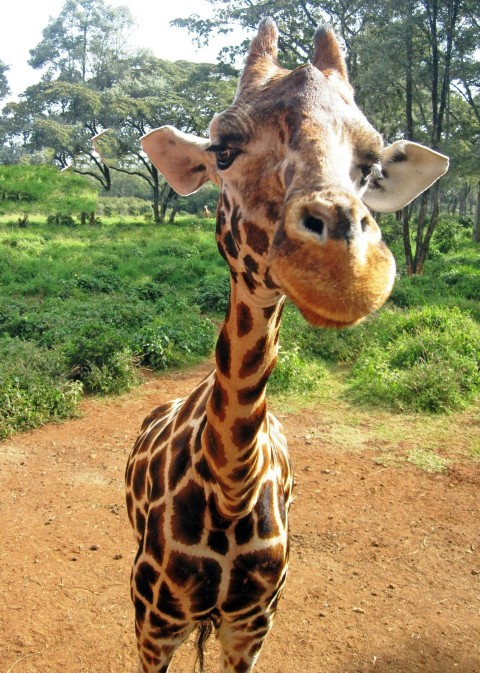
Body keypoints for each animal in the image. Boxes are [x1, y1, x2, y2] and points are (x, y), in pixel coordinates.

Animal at [127, 18, 448, 673]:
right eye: (223, 151)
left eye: (370, 166)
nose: (345, 272)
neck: (230, 486)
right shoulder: (152, 624)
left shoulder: (252, 627)